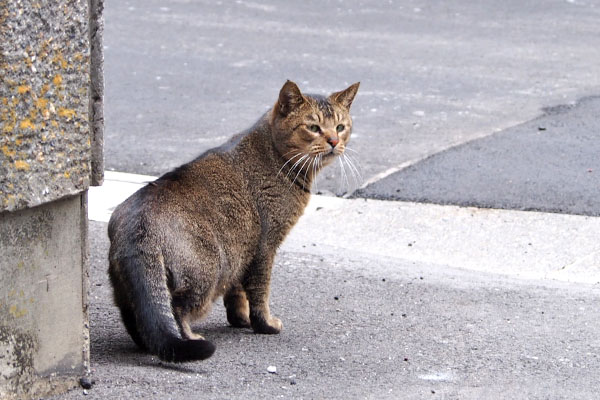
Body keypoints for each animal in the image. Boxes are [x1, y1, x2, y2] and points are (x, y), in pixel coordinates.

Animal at [107, 79, 358, 360]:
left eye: (340, 127)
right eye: (313, 127)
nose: (334, 141)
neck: (274, 155)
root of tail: (139, 226)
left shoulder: (243, 248)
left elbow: (237, 293)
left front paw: (241, 320)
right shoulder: (265, 247)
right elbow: (260, 293)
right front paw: (266, 325)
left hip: (129, 288)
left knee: (142, 321)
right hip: (207, 270)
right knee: (176, 308)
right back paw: (191, 337)